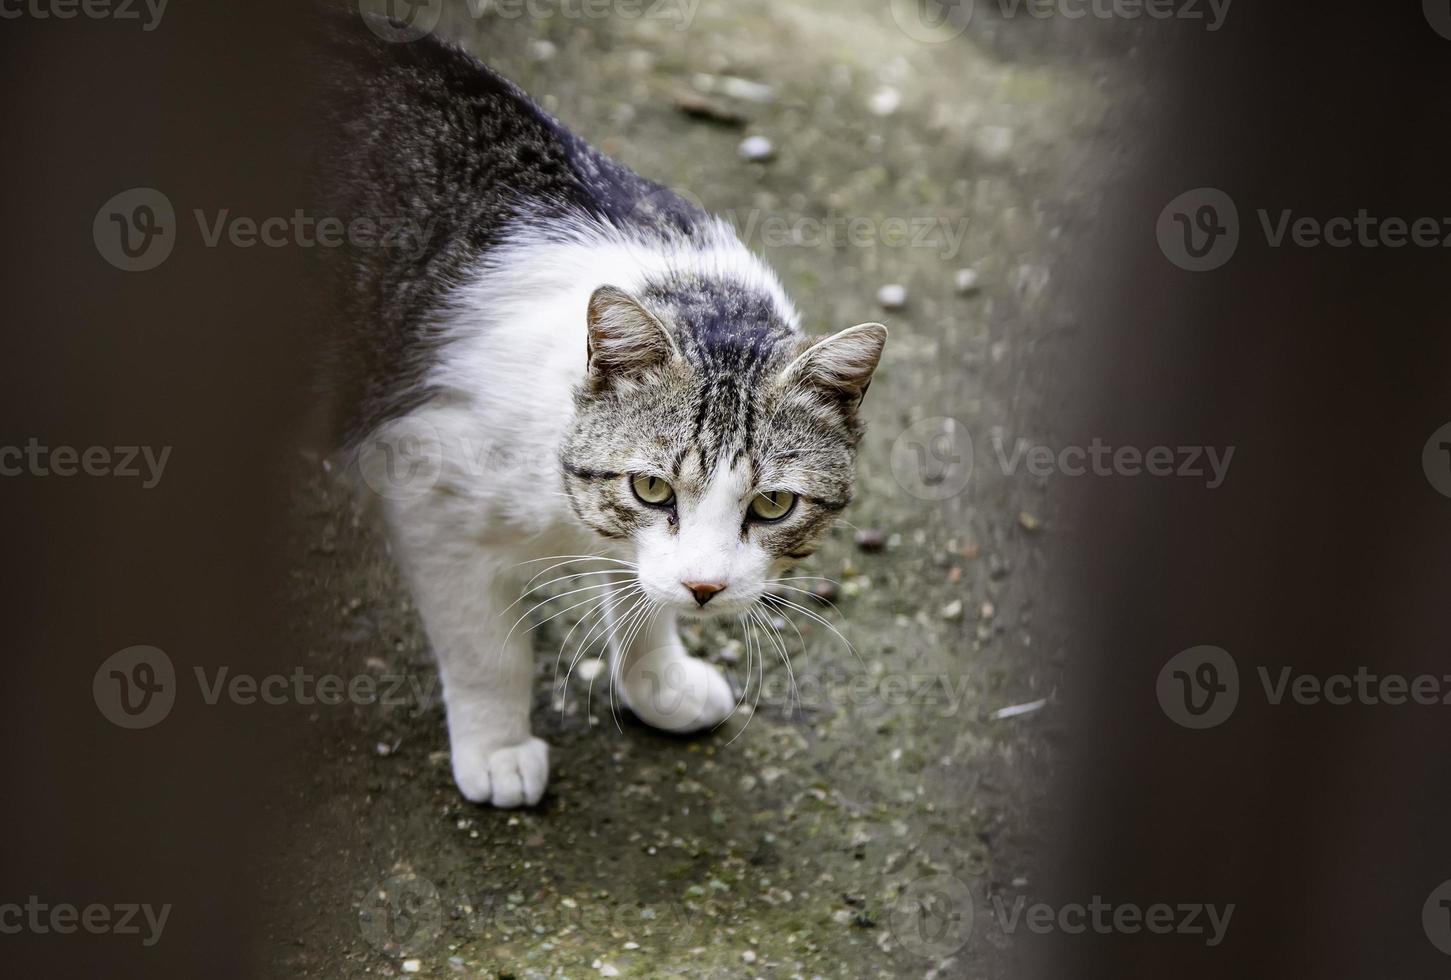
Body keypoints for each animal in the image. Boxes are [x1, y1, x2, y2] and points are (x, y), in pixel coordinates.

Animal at [314, 15, 882, 807]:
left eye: (773, 505)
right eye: (651, 488)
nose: (707, 589)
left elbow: (644, 594)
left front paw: (658, 681)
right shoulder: (424, 491)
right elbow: (486, 650)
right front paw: (497, 747)